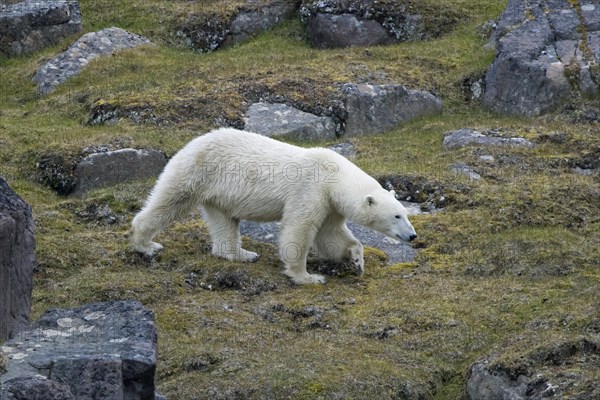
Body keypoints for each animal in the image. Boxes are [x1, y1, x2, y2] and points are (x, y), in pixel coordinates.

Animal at [132, 129, 418, 284]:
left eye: (406, 213)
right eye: (396, 216)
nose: (413, 235)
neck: (332, 176)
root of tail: (191, 143)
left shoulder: (330, 204)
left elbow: (330, 235)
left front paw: (357, 259)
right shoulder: (310, 189)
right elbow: (300, 229)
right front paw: (307, 277)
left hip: (218, 194)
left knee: (224, 221)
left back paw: (241, 253)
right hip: (197, 173)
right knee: (169, 201)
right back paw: (146, 244)